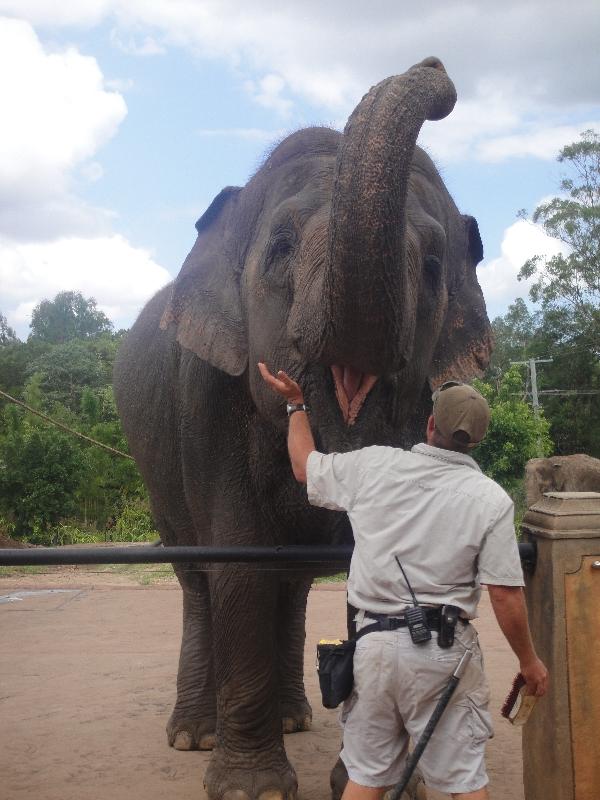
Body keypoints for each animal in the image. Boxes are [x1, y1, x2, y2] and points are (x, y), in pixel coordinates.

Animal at [112, 56, 492, 800]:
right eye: (281, 249)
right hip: (155, 470)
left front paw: (369, 777)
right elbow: (238, 562)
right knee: (198, 576)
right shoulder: (203, 398)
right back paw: (194, 736)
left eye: (435, 267)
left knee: (287, 585)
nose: (435, 68)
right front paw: (251, 790)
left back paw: (292, 720)